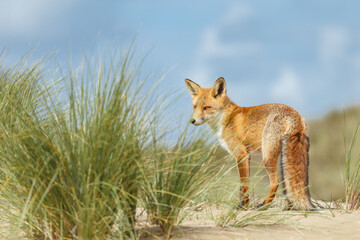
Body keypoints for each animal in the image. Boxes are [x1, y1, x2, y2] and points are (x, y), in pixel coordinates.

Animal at [186, 77, 316, 210]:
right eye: (194, 107)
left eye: (206, 108)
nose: (192, 121)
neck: (226, 119)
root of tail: (295, 114)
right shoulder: (247, 156)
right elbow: (245, 185)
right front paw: (245, 205)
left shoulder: (241, 154)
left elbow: (243, 184)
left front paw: (242, 207)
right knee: (288, 182)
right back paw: (287, 209)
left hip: (267, 157)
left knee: (275, 182)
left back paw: (264, 206)